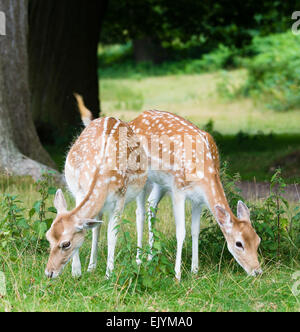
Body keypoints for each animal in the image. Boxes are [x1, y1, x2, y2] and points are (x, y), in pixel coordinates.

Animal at [45, 106, 147, 278]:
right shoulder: (80, 190)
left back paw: (139, 260)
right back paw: (91, 266)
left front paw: (109, 274)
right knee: (96, 226)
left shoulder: (120, 196)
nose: (49, 273)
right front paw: (77, 272)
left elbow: (112, 235)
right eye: (48, 236)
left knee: (140, 214)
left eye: (66, 244)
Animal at [129, 111, 262, 280]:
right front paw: (177, 274)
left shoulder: (198, 200)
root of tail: (134, 120)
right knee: (139, 212)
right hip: (139, 171)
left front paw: (195, 270)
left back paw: (150, 257)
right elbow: (181, 232)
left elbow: (195, 231)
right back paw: (139, 260)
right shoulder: (178, 190)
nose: (257, 271)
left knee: (151, 204)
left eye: (258, 240)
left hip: (161, 183)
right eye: (239, 243)